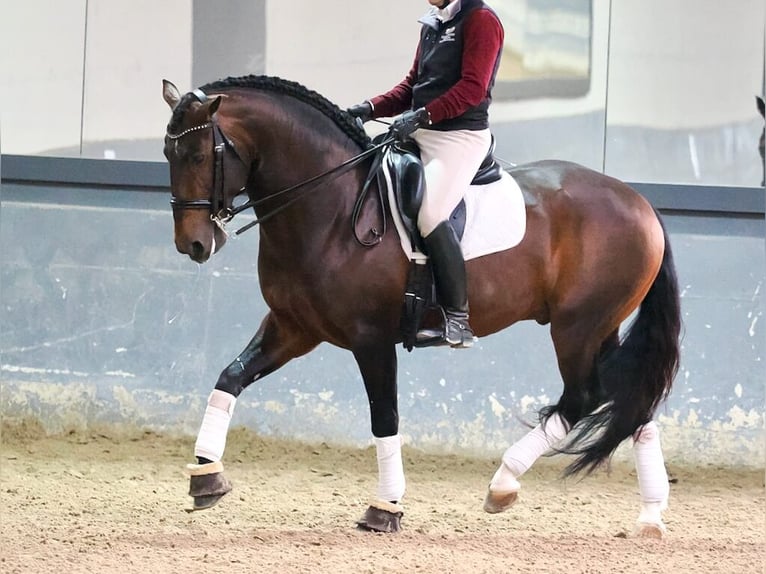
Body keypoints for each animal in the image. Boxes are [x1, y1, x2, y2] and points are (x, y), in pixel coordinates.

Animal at [162, 74, 684, 536]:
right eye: (167, 154)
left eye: (198, 154)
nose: (193, 245)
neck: (330, 206)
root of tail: (640, 202)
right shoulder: (294, 327)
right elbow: (230, 378)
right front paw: (206, 477)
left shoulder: (371, 339)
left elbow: (385, 417)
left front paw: (385, 508)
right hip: (601, 328)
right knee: (633, 403)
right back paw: (650, 517)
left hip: (577, 327)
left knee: (586, 397)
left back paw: (503, 484)